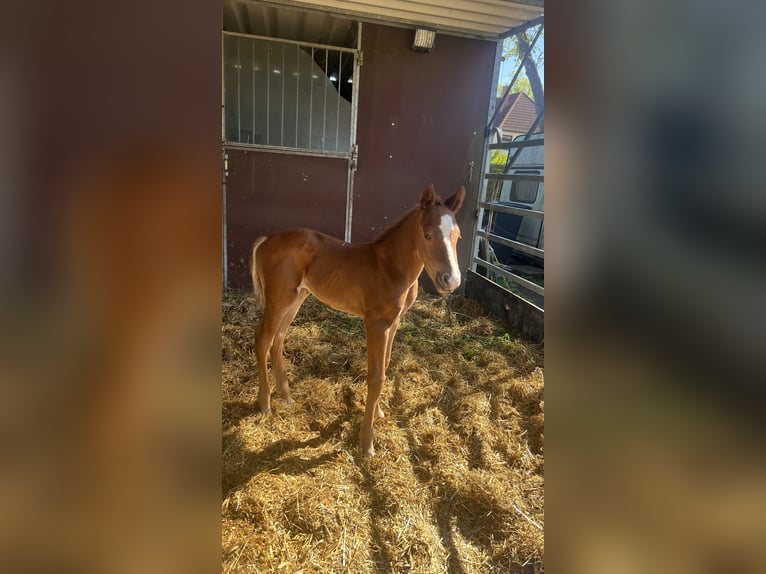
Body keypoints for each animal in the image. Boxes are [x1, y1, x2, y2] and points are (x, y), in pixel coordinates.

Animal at [254, 184, 468, 454]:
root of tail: (266, 240)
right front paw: (367, 441)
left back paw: (286, 395)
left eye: (458, 237)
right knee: (263, 339)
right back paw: (265, 403)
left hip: (297, 297)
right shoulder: (375, 323)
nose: (451, 280)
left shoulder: (394, 323)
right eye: (428, 235)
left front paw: (379, 413)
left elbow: (385, 366)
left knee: (278, 339)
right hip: (279, 298)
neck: (389, 267)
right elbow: (376, 378)